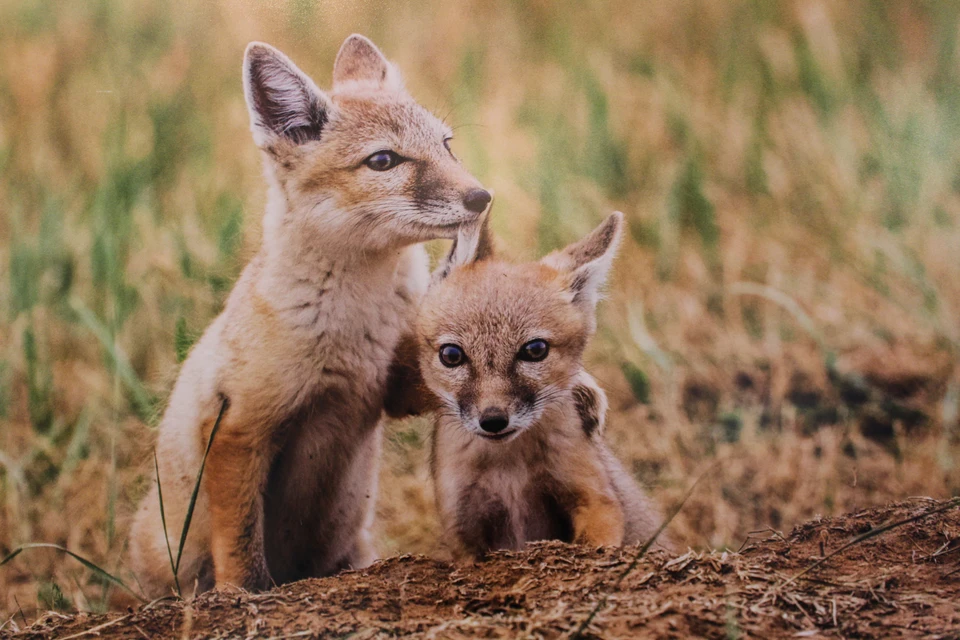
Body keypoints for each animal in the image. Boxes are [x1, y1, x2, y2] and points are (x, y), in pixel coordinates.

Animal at [129, 33, 488, 596]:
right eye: (383, 161)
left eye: (447, 144)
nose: (481, 196)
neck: (357, 321)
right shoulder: (236, 427)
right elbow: (241, 550)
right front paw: (243, 596)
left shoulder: (390, 392)